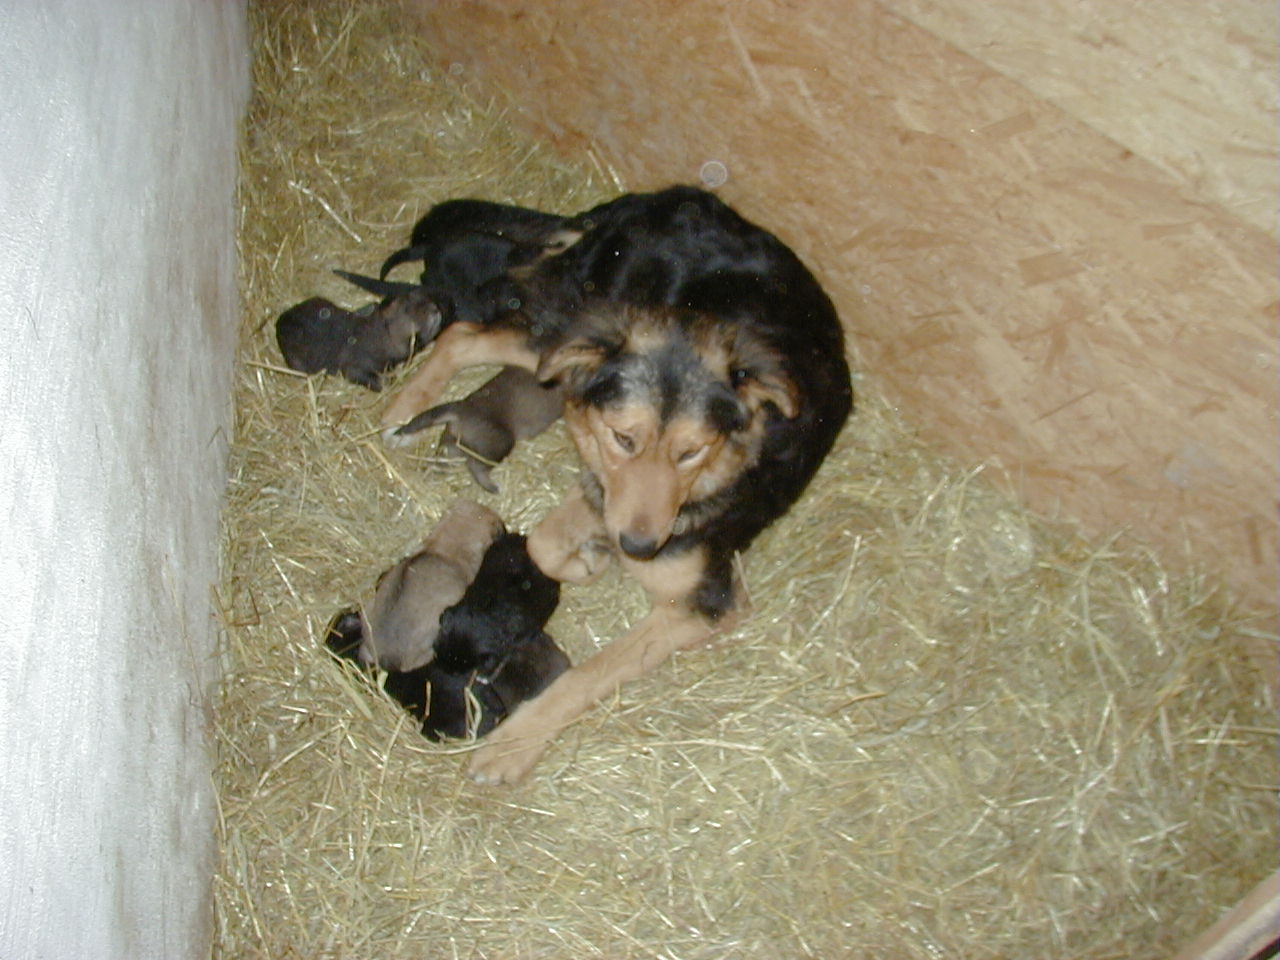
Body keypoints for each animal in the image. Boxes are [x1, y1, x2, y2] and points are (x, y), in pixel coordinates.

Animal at [394, 366, 565, 492]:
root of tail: (459, 408)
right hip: (498, 444)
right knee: (476, 466)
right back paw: (493, 488)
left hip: (453, 446)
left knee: (441, 461)